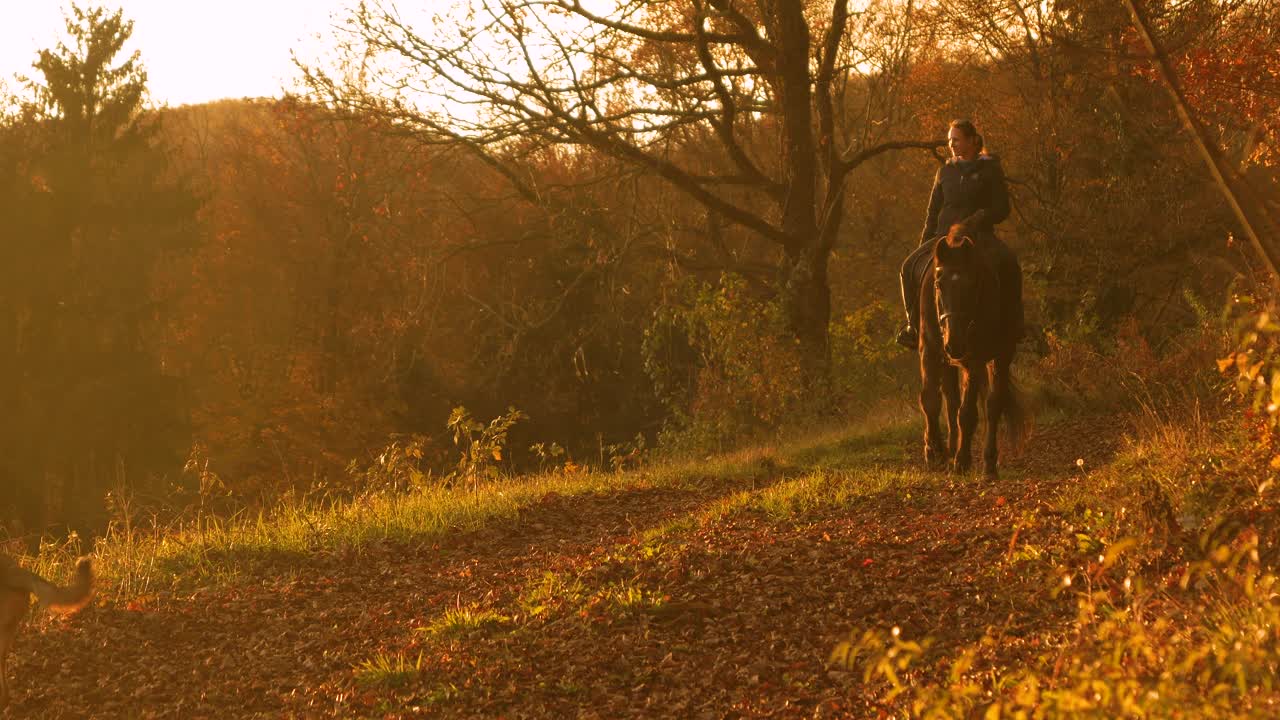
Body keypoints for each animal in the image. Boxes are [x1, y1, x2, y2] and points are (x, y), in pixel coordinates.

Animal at [916, 224, 1024, 476]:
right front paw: (933, 452)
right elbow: (930, 400)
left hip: (1001, 354)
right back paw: (950, 451)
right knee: (951, 402)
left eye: (973, 284)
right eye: (938, 284)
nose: (955, 343)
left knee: (993, 405)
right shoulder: (930, 349)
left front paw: (962, 460)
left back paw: (988, 463)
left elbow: (967, 414)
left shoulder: (975, 359)